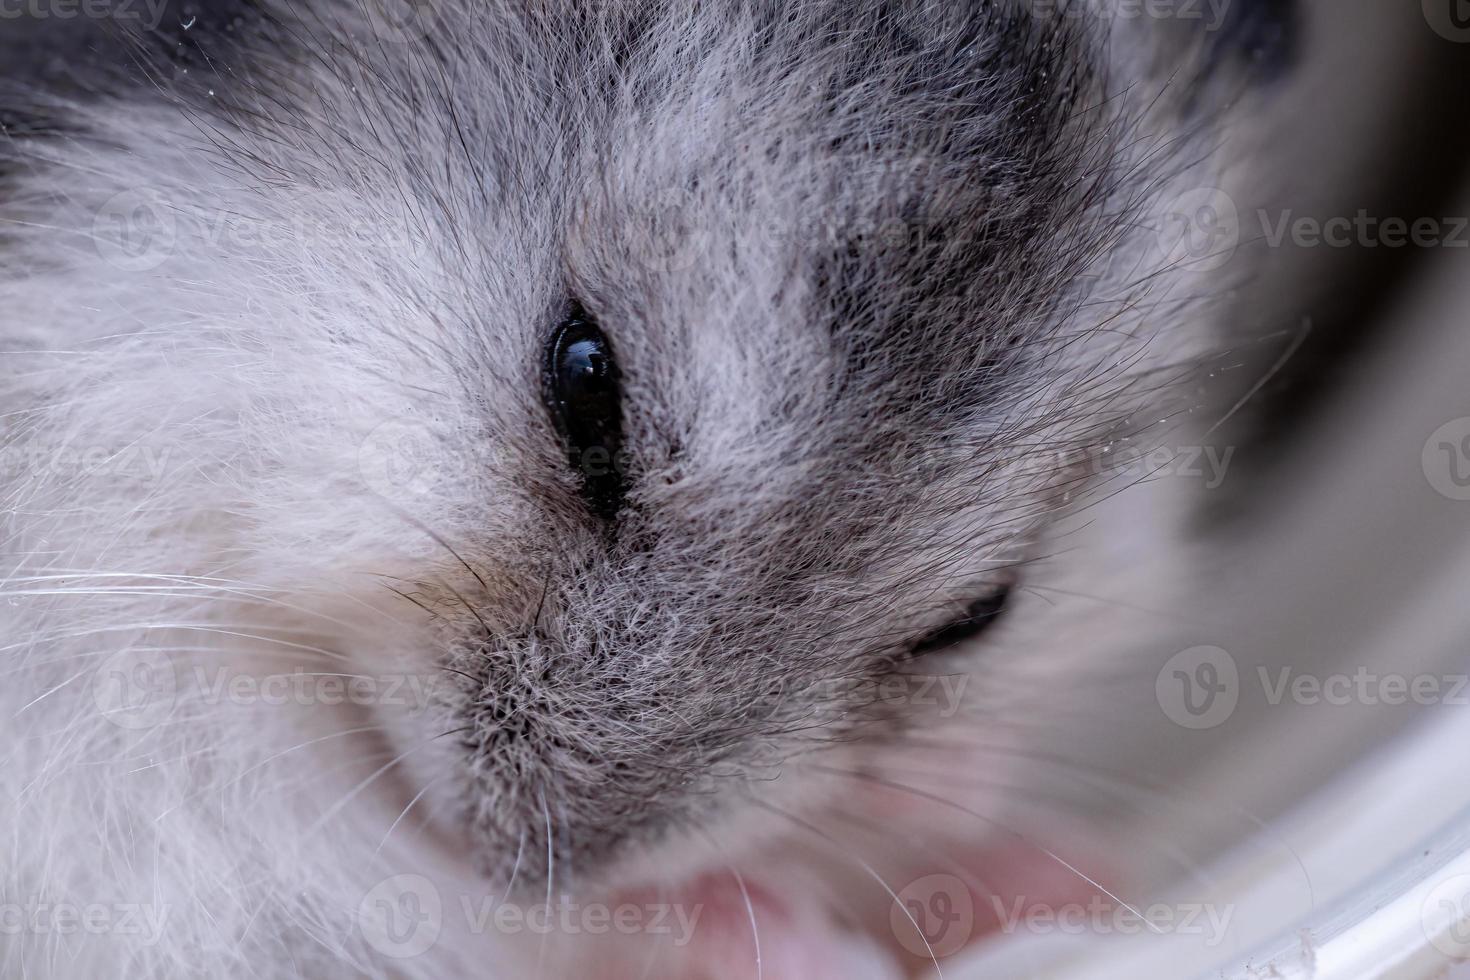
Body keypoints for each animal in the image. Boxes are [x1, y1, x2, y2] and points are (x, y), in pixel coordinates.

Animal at [0, 1, 1287, 980]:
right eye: (585, 382)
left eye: (981, 613)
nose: (524, 857)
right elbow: (384, 891)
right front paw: (788, 933)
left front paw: (1010, 845)